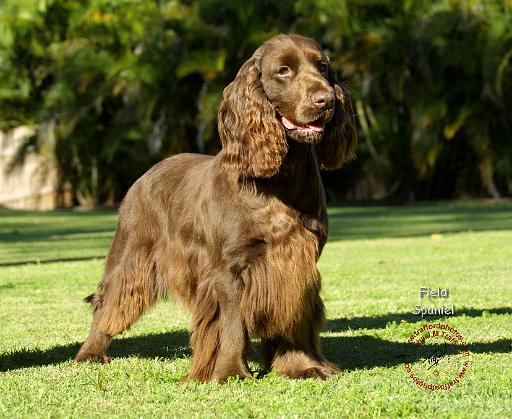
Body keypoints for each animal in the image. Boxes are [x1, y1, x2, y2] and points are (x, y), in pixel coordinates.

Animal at [76, 34, 356, 382]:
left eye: (323, 67)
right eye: (283, 70)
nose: (326, 101)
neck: (279, 181)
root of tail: (146, 173)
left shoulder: (298, 259)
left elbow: (296, 319)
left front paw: (302, 367)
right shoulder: (228, 269)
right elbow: (232, 325)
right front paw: (230, 373)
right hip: (131, 255)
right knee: (108, 300)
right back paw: (90, 353)